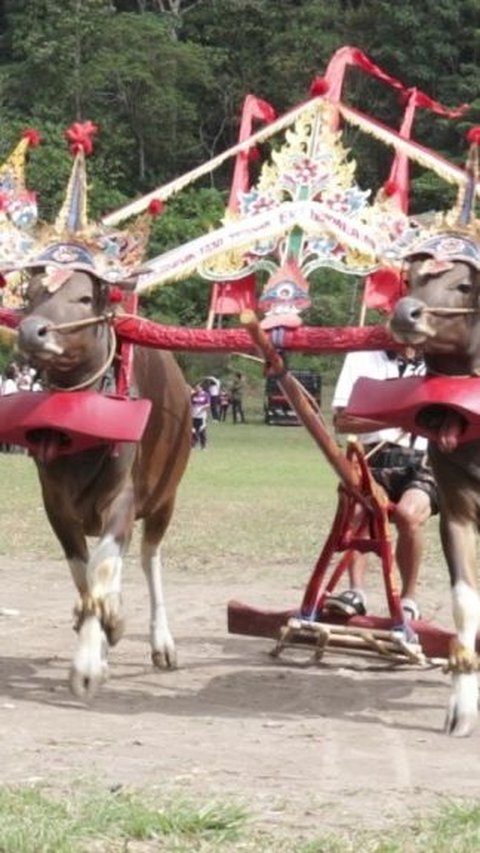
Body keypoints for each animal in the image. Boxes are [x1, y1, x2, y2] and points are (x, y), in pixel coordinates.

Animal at [18, 272, 191, 700]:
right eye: (31, 295)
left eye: (83, 298)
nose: (32, 331)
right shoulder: (55, 505)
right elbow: (85, 574)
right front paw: (102, 630)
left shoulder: (122, 499)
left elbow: (104, 565)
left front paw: (87, 667)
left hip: (166, 498)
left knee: (149, 558)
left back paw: (162, 642)